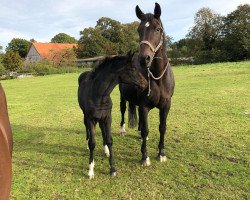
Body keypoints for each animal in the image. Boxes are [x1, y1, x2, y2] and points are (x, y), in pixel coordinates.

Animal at [118, 2, 174, 166]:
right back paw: (123, 130)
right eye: (139, 29)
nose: (144, 59)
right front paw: (145, 157)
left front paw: (161, 153)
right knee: (123, 110)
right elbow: (146, 130)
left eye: (157, 29)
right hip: (122, 97)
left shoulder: (166, 105)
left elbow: (162, 128)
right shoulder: (144, 106)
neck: (157, 77)